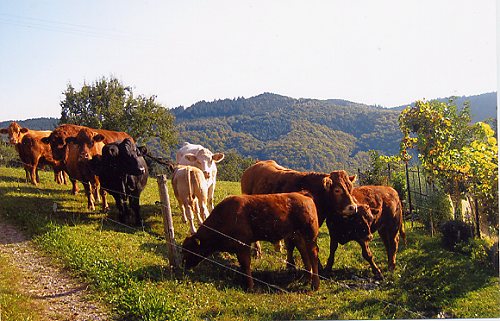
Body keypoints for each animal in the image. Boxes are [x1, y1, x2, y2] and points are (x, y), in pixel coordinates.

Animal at [182, 191, 318, 292]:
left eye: (189, 250)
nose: (184, 266)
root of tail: (303, 195)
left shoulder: (242, 245)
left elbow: (246, 264)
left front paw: (250, 286)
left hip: (309, 235)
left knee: (312, 254)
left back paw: (315, 285)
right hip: (297, 235)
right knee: (304, 252)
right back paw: (307, 279)